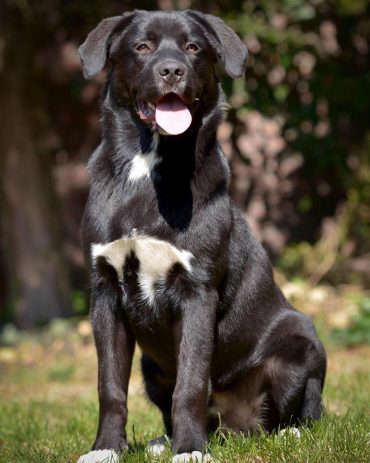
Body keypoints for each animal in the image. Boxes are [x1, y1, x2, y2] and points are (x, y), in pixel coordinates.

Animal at [76, 10, 326, 463]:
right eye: (142, 47)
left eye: (193, 47)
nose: (172, 70)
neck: (148, 167)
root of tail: (235, 427)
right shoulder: (105, 292)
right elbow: (110, 386)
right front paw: (105, 449)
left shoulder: (197, 291)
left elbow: (191, 383)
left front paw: (190, 450)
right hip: (152, 368)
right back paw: (163, 441)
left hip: (301, 343)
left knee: (305, 410)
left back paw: (287, 434)